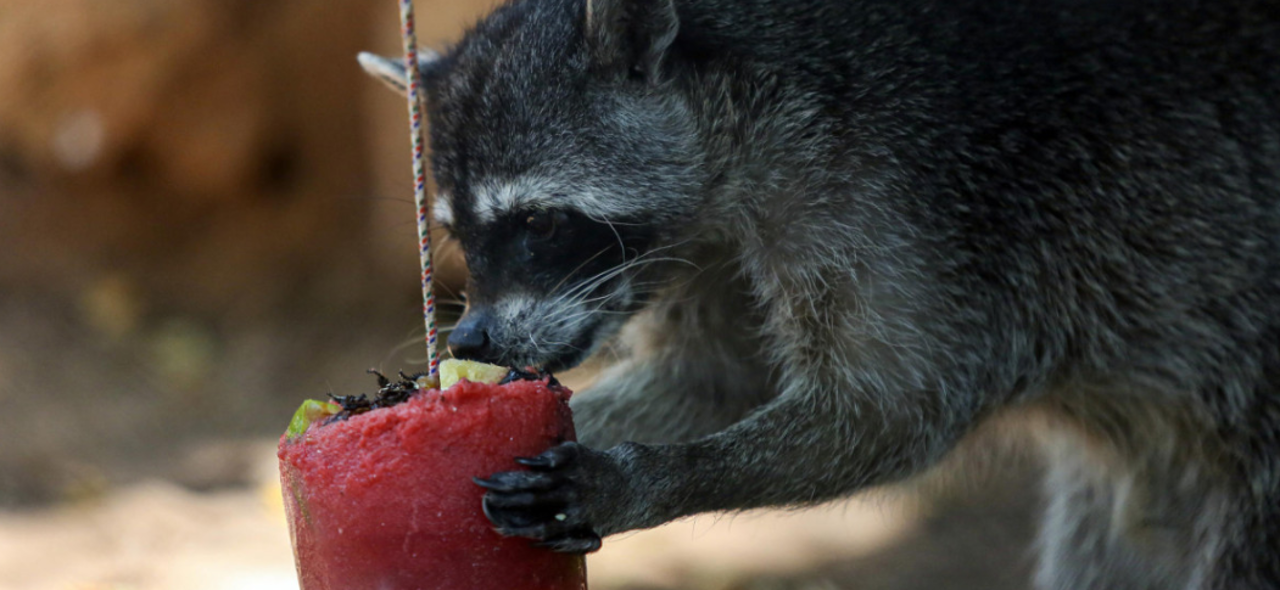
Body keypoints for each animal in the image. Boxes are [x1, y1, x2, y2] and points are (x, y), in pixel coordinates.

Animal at [360, 0, 1280, 583]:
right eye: (458, 236)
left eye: (542, 223)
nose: (470, 341)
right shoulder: (709, 236)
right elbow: (724, 378)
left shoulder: (888, 194)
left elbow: (895, 406)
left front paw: (649, 476)